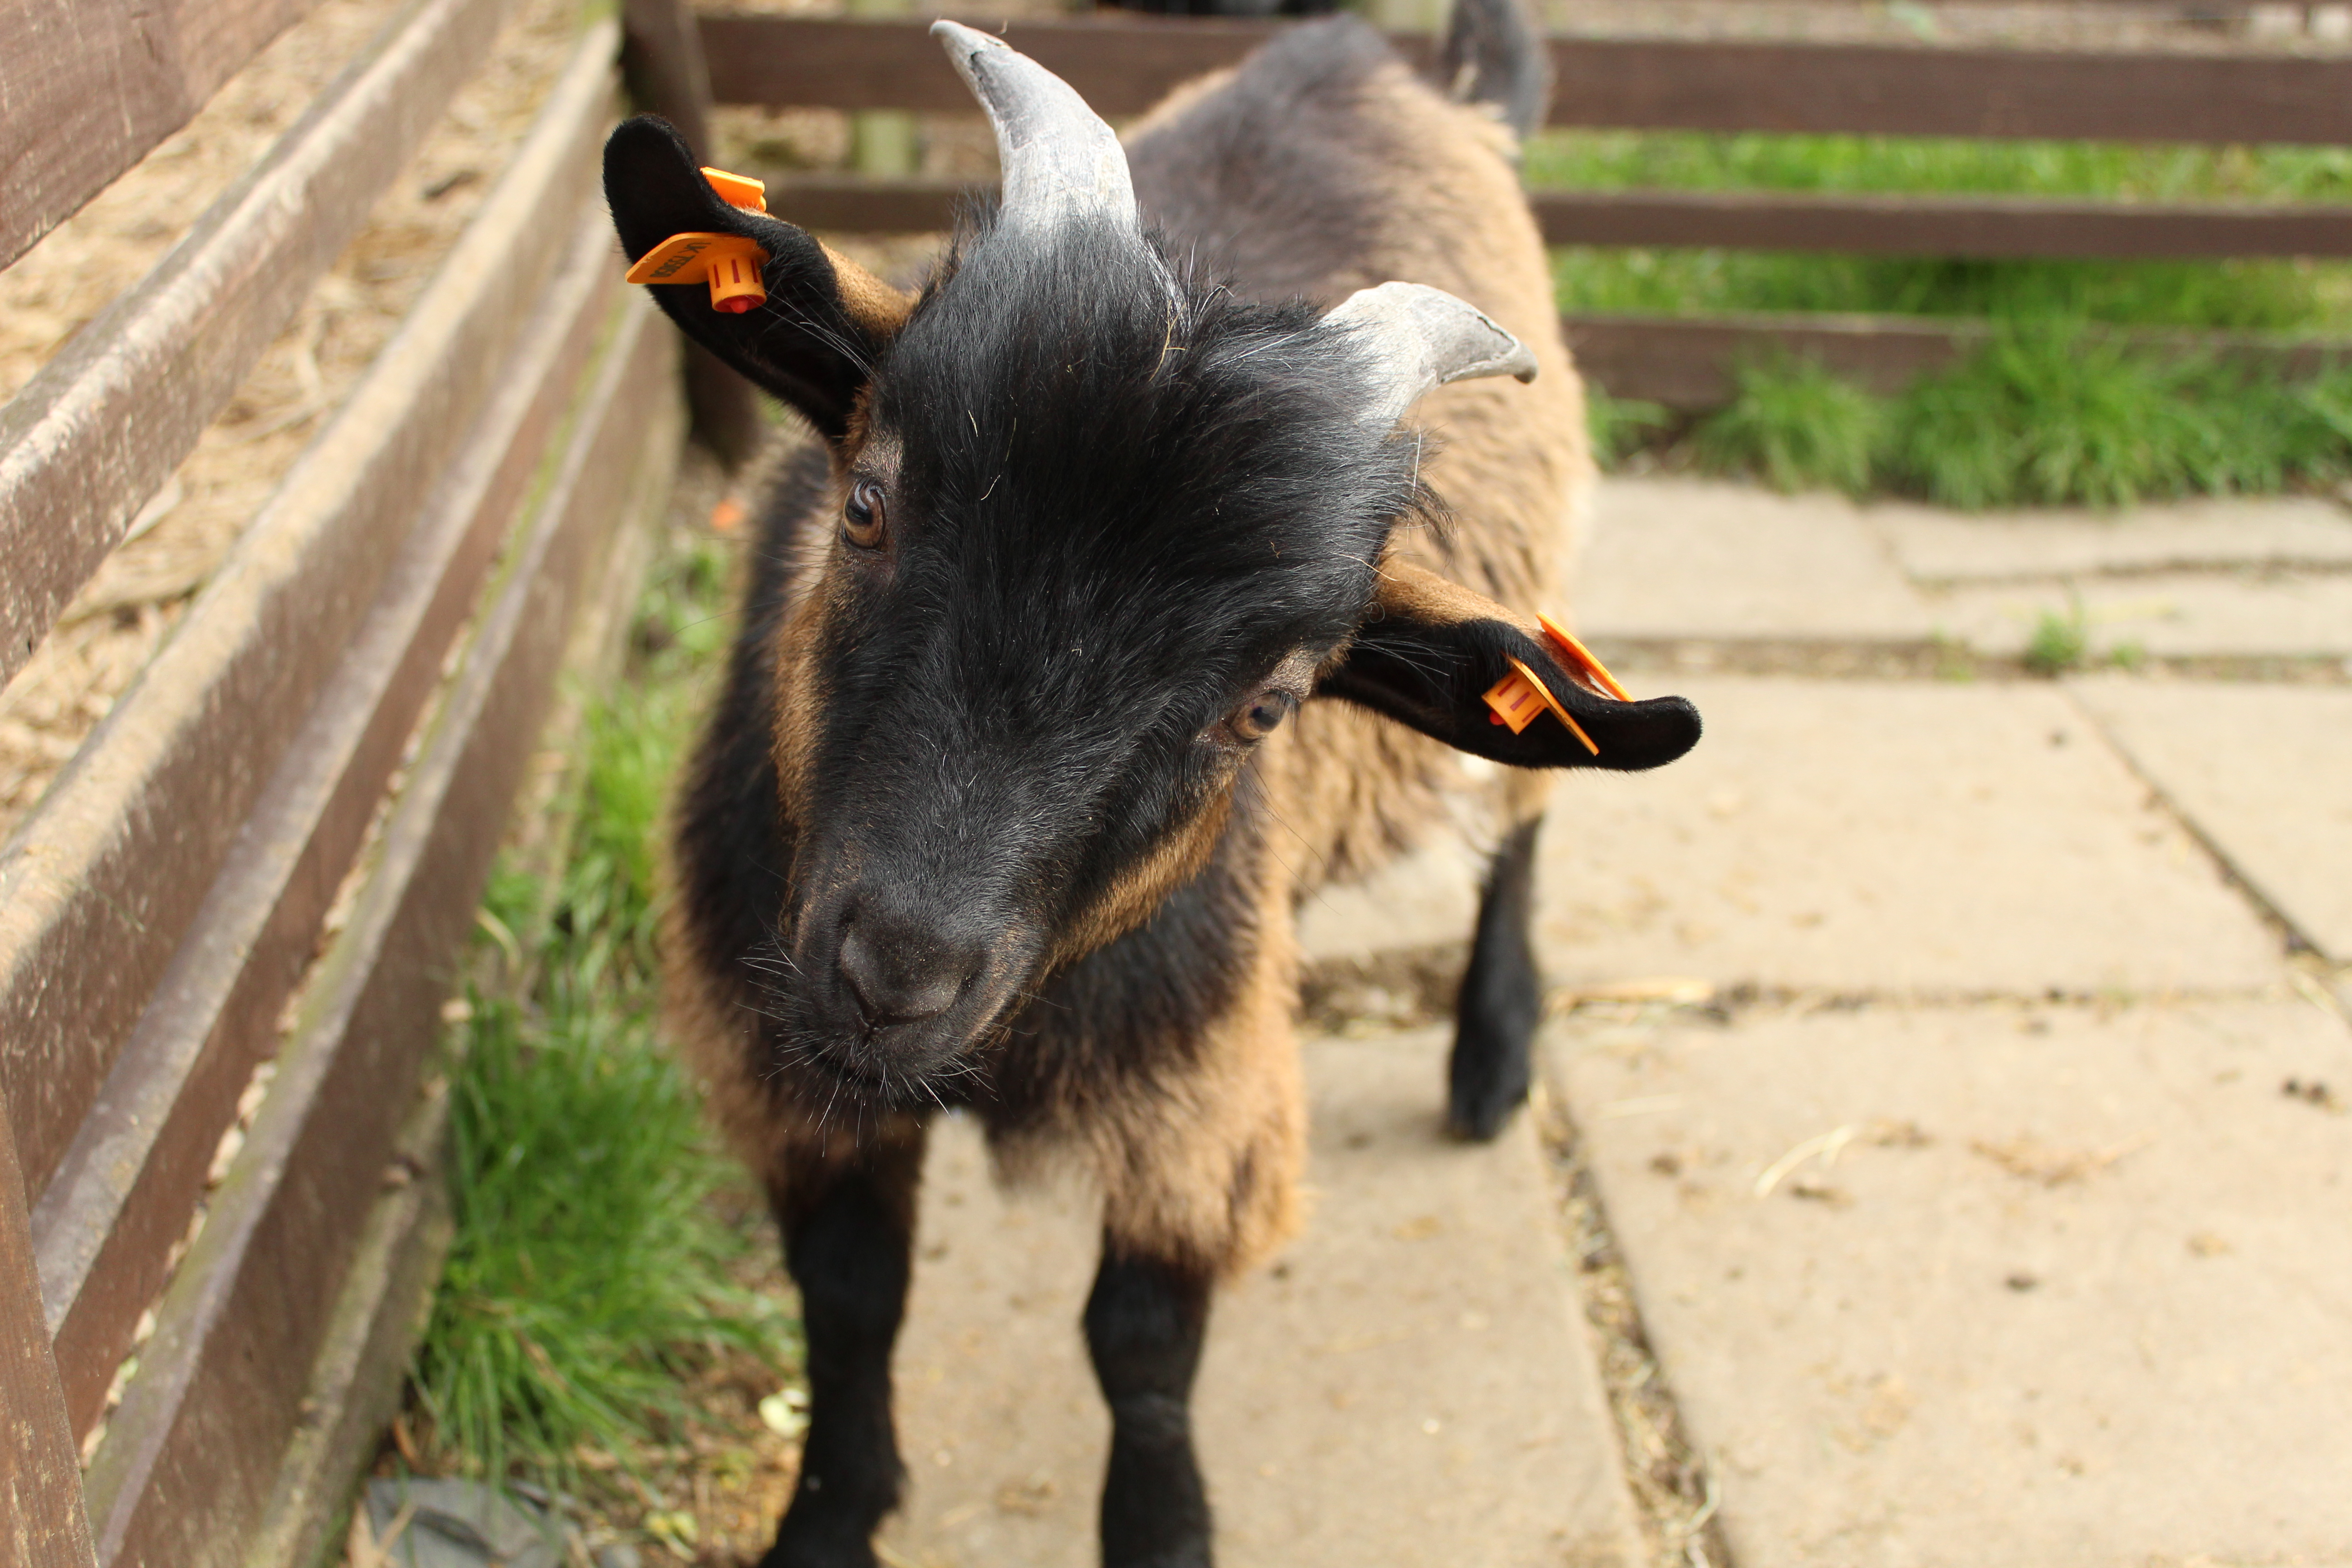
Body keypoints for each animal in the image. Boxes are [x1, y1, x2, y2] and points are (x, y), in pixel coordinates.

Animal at [603, 6, 1700, 1564]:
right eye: (867, 501)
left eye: (1268, 703)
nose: (896, 973)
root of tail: (1390, 62)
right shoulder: (780, 1054)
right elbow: (851, 1295)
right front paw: (828, 1519)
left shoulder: (1199, 1093)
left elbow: (1140, 1346)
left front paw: (1167, 1527)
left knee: (1519, 834)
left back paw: (1491, 1053)